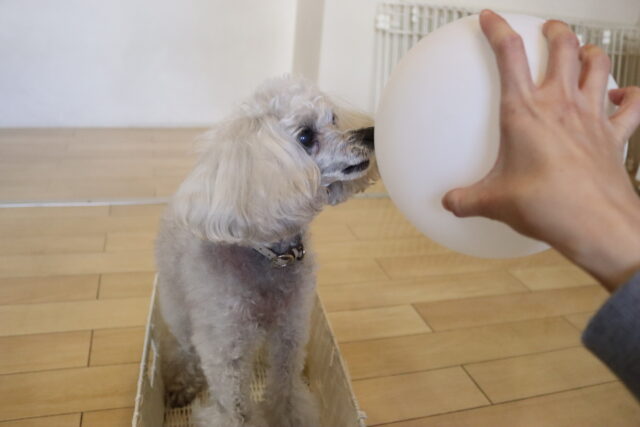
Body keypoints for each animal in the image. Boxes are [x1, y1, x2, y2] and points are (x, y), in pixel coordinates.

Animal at [155, 76, 377, 427]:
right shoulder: (225, 351)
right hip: (178, 306)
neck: (270, 257)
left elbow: (285, 392)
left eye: (334, 118)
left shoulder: (290, 332)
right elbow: (234, 411)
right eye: (305, 136)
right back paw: (181, 383)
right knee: (181, 346)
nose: (370, 133)